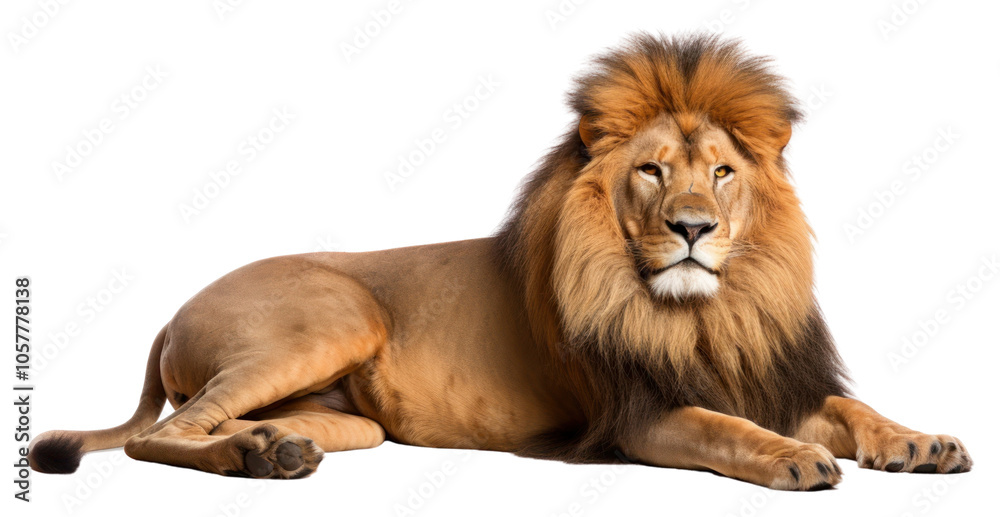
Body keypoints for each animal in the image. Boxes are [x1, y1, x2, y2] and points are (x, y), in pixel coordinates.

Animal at [29, 34, 972, 490]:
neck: (709, 311)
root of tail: (168, 312)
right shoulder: (634, 414)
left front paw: (921, 441)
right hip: (334, 315)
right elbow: (724, 427)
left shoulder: (771, 373)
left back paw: (274, 448)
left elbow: (854, 407)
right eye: (651, 170)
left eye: (723, 172)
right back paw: (252, 459)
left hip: (354, 415)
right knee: (156, 435)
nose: (694, 227)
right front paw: (790, 457)